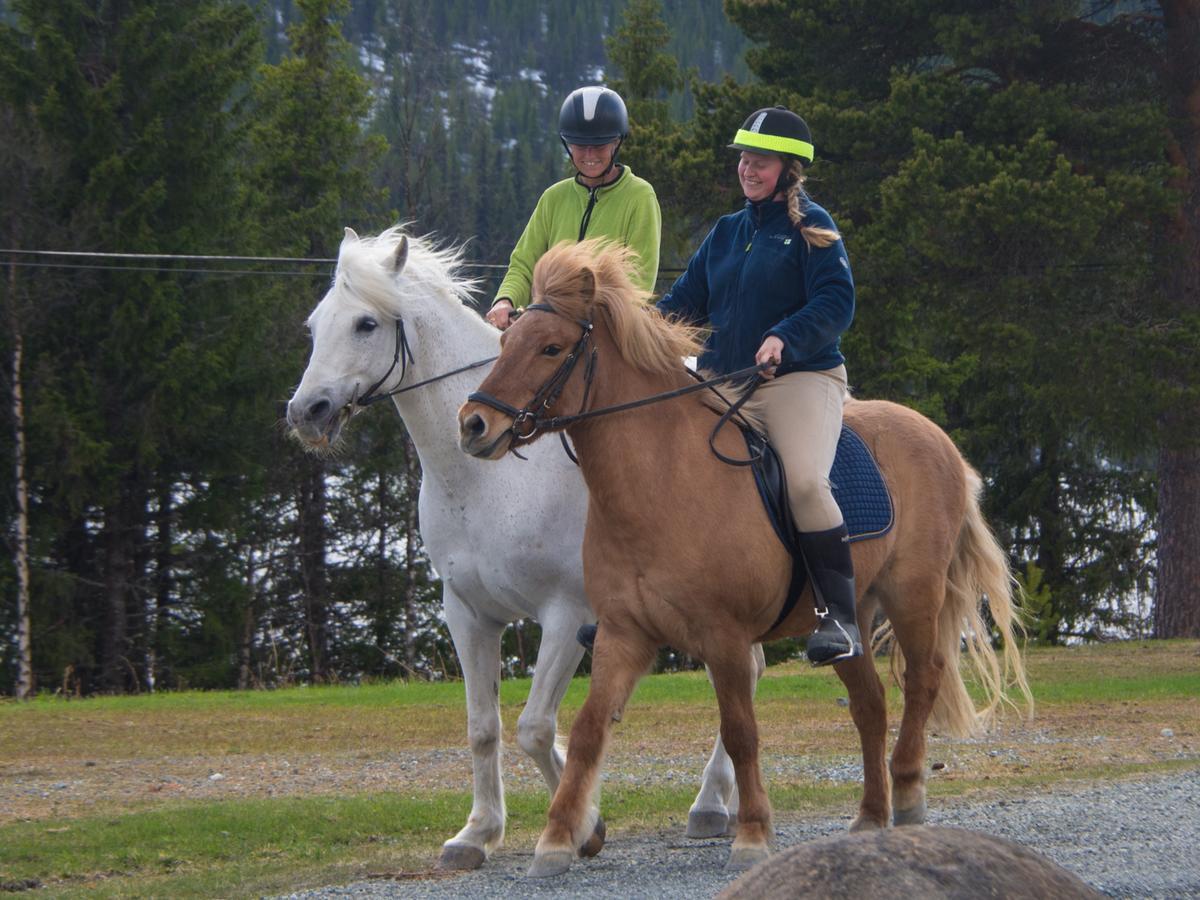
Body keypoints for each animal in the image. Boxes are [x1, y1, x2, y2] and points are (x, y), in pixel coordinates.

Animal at [285, 229, 744, 868]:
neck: (489, 480)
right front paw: (477, 833)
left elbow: (535, 727)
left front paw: (583, 825)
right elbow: (485, 726)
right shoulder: (468, 614)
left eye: (365, 324)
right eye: (313, 324)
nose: (307, 412)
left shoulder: (567, 616)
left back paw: (710, 803)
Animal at [458, 241, 1032, 883]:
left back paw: (907, 794)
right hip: (846, 616)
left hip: (914, 595)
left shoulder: (725, 637)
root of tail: (940, 441)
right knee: (869, 703)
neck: (661, 480)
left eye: (552, 348)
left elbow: (741, 733)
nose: (473, 424)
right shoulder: (623, 635)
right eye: (507, 343)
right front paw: (558, 839)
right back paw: (869, 816)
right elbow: (586, 731)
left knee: (923, 679)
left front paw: (753, 832)